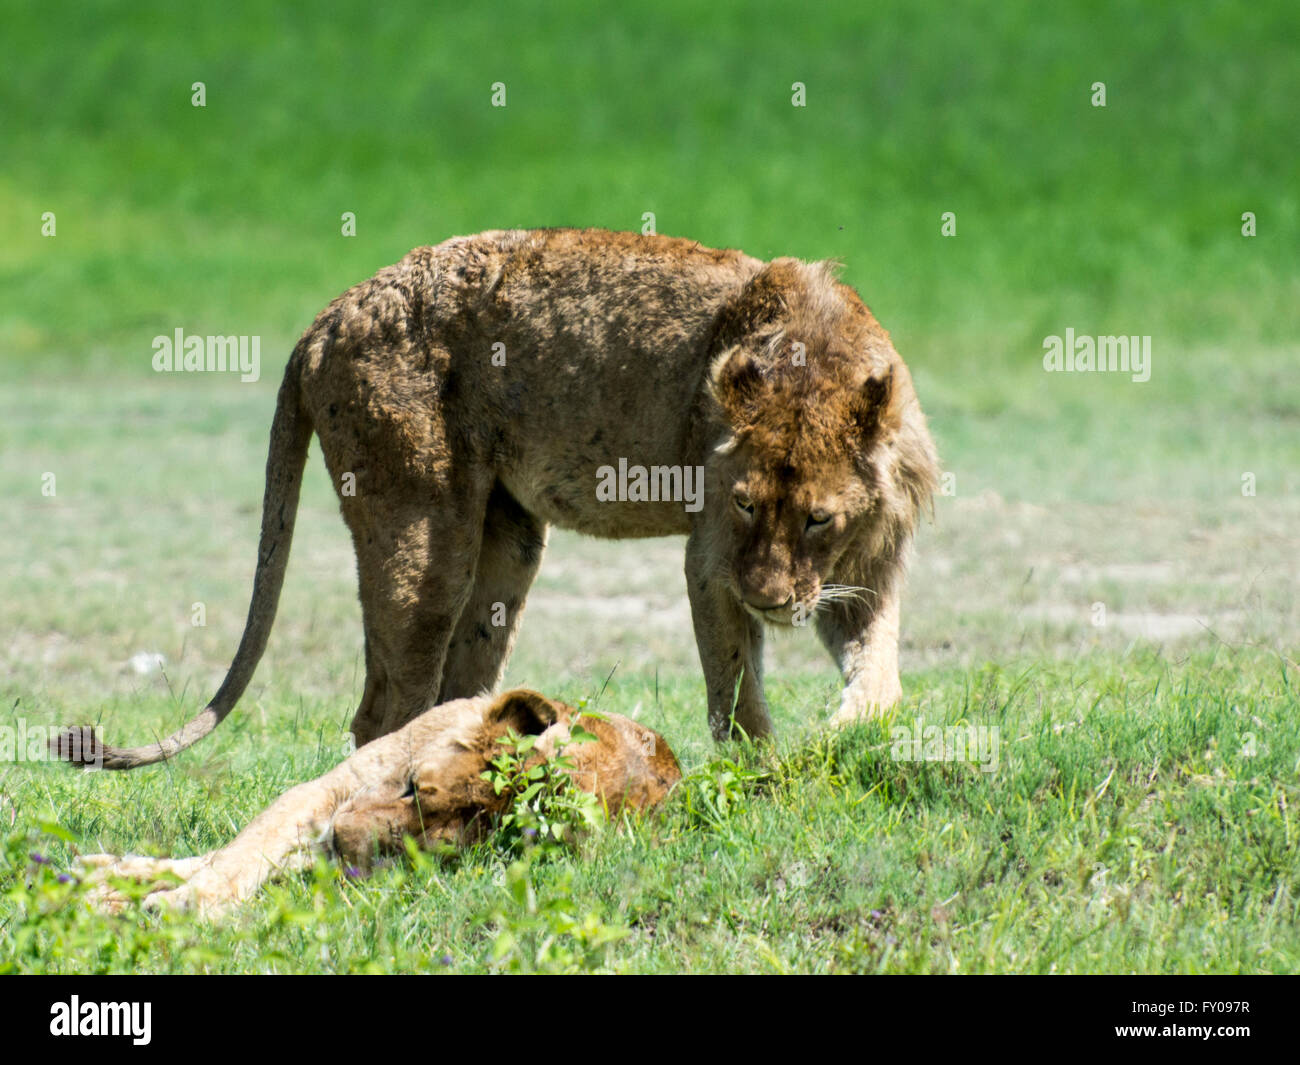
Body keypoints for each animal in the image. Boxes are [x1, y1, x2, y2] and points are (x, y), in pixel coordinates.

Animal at [76, 691, 681, 915]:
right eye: (412, 784)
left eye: (427, 846)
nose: (343, 840)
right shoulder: (321, 794)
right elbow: (235, 858)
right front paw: (158, 896)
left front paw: (157, 903)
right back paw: (98, 870)